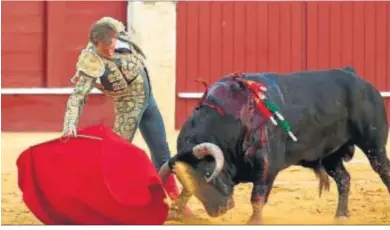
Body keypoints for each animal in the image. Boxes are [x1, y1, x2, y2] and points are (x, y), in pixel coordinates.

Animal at [158, 67, 390, 225]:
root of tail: (355, 76)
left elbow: (257, 197)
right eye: (187, 180)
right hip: (330, 154)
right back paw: (340, 216)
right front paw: (177, 209)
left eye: (208, 172)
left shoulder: (267, 165)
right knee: (344, 179)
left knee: (383, 170)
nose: (219, 210)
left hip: (373, 145)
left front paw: (254, 222)